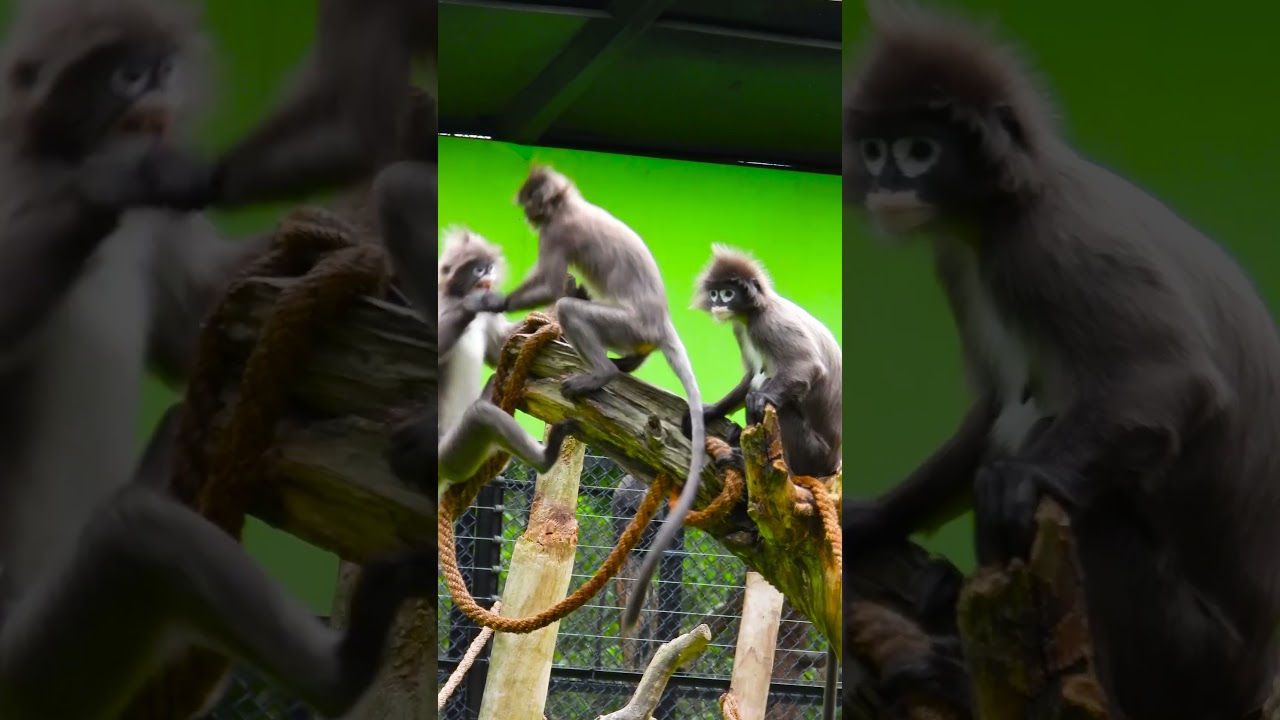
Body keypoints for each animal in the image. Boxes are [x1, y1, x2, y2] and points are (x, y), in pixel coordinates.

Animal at [0, 1, 433, 716]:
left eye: (162, 67)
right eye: (125, 74)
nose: (155, 84)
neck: (60, 160)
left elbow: (191, 325)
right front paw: (114, 184)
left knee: (180, 432)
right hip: (28, 668)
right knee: (137, 534)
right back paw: (344, 671)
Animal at [379, 225, 580, 504]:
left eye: (489, 267)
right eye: (478, 269)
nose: (488, 273)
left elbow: (498, 350)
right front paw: (473, 304)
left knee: (496, 380)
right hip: (449, 457)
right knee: (480, 415)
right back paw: (546, 458)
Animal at [465, 165, 709, 635]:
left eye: (531, 206)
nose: (529, 218)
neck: (570, 206)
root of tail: (659, 321)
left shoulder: (560, 230)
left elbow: (549, 282)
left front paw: (492, 300)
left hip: (625, 324)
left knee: (570, 306)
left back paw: (603, 373)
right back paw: (627, 363)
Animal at [842, 2, 1280, 718]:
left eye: (918, 150)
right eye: (876, 150)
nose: (886, 183)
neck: (997, 213)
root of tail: (1256, 681)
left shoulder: (1044, 244)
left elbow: (1171, 377)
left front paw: (1022, 482)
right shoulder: (959, 262)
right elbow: (994, 406)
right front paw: (873, 517)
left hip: (1196, 661)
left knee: (1086, 507)